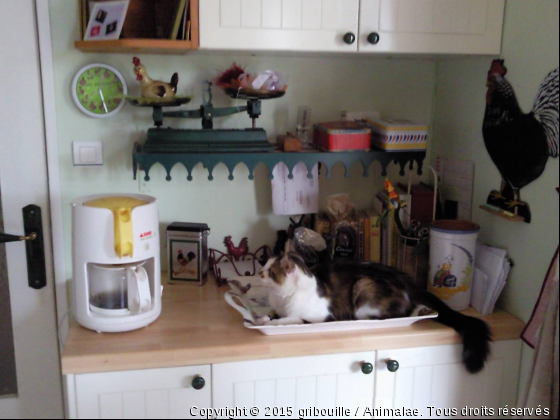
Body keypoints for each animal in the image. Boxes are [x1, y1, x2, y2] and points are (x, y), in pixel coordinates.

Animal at [258, 251, 490, 372]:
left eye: (269, 271)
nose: (259, 272)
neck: (282, 298)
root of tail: (407, 280)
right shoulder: (277, 308)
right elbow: (271, 314)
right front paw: (262, 318)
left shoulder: (320, 317)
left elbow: (290, 320)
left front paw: (270, 322)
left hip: (363, 290)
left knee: (401, 313)